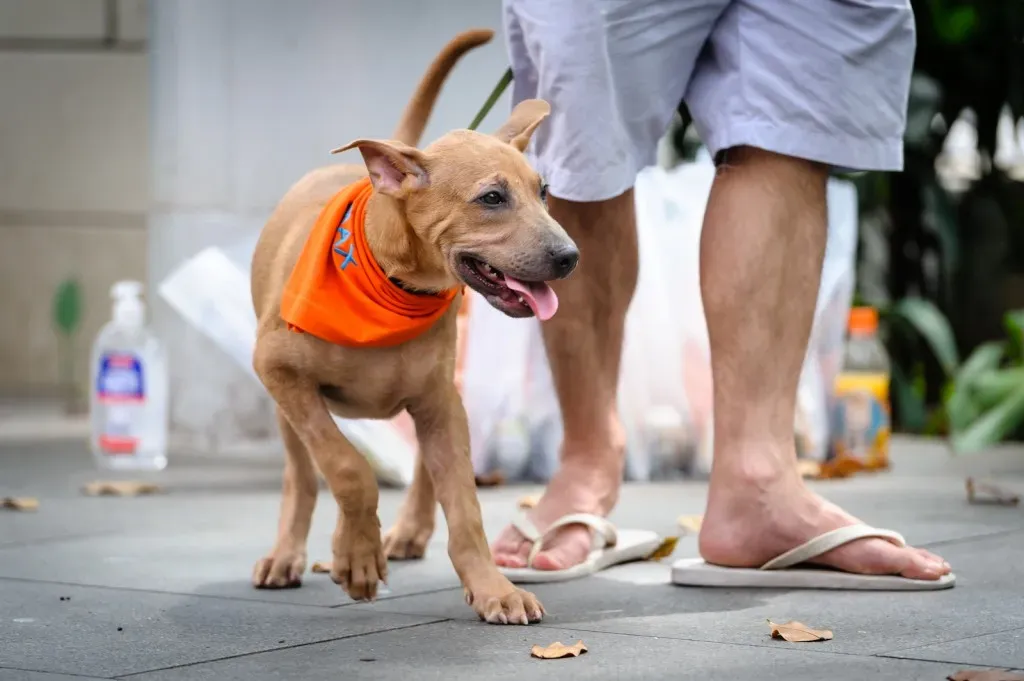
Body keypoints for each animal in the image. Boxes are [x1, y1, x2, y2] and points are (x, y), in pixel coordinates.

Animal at [248, 33, 577, 626]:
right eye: (492, 198)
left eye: (543, 192)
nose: (569, 257)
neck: (392, 280)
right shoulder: (279, 370)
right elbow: (345, 465)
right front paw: (356, 556)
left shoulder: (441, 401)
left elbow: (465, 507)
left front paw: (493, 588)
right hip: (285, 402)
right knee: (302, 474)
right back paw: (289, 554)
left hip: (442, 389)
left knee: (427, 463)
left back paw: (409, 530)